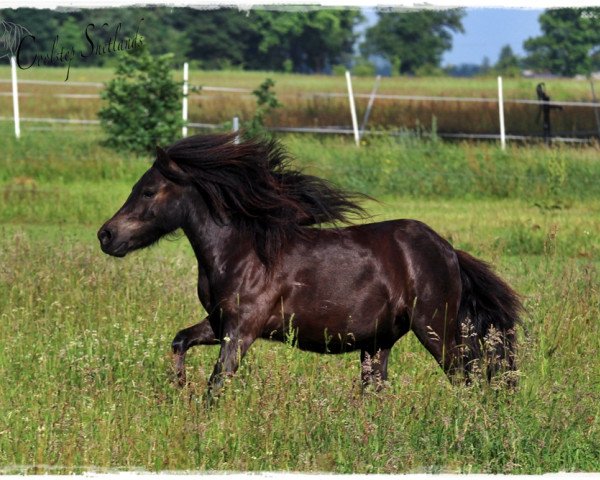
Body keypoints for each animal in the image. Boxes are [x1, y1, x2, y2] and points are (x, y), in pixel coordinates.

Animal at [98, 134, 520, 398]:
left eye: (148, 191)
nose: (106, 235)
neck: (241, 252)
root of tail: (449, 251)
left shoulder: (242, 330)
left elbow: (217, 383)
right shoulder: (219, 324)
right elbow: (179, 341)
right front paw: (179, 388)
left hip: (436, 330)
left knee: (466, 376)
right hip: (377, 343)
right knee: (378, 391)